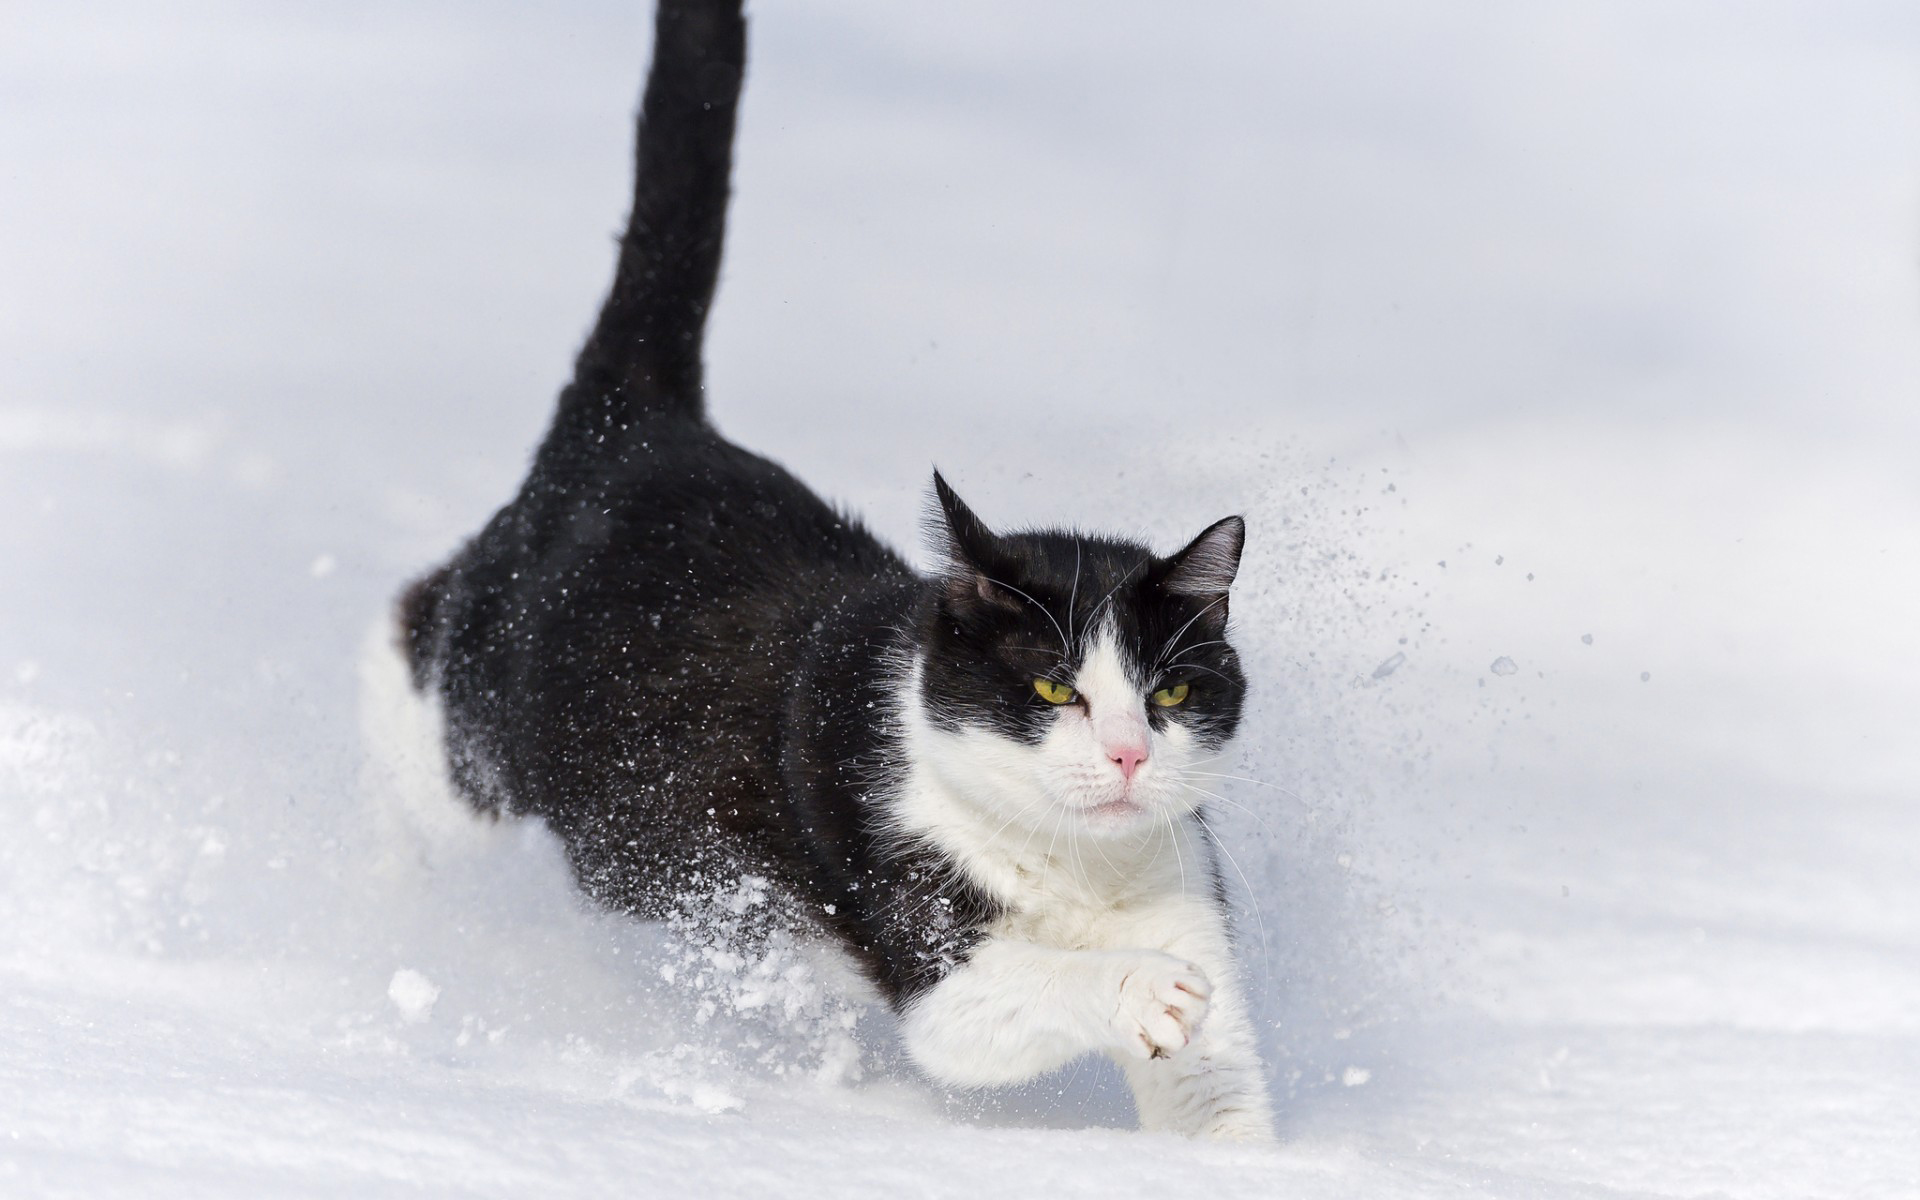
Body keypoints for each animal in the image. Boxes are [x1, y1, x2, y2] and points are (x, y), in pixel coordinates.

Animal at [391, 0, 1274, 1144]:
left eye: (1169, 694)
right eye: (1053, 689)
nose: (1128, 756)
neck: (1077, 875)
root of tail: (642, 424)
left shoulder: (1184, 889)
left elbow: (1220, 1101)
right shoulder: (911, 911)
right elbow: (1000, 1001)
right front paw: (1144, 986)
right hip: (480, 719)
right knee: (407, 638)